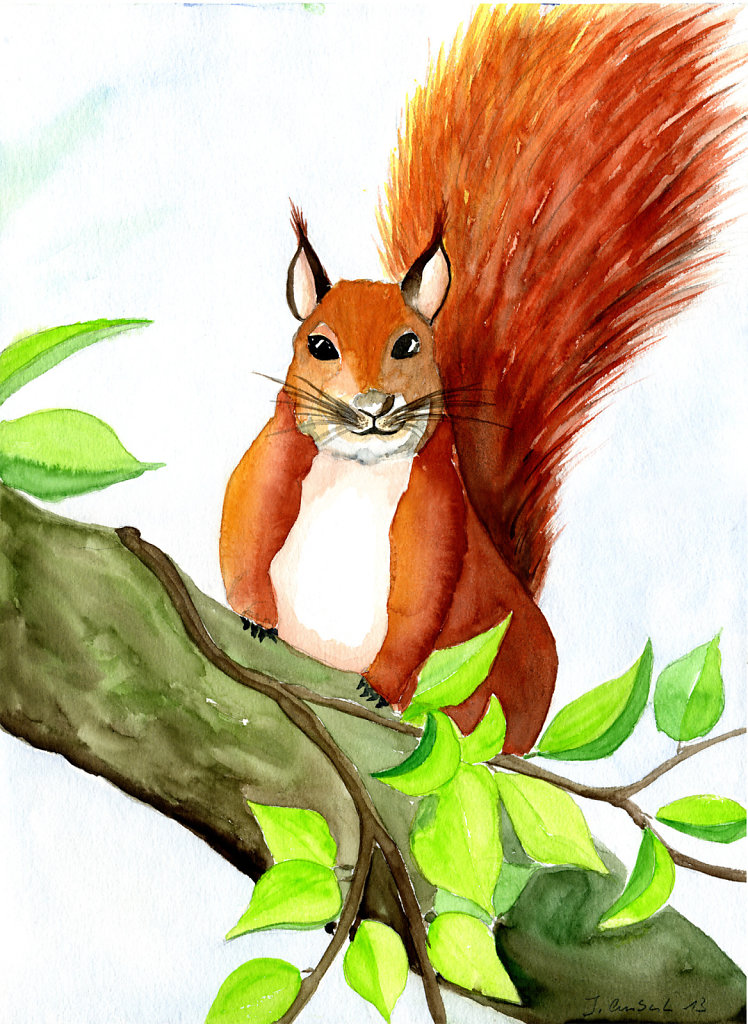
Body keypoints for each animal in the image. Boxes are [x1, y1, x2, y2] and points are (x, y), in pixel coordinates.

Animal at [219, 5, 742, 755]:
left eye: (411, 343)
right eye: (318, 345)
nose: (375, 406)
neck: (357, 468)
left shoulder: (437, 511)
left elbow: (422, 603)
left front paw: (386, 681)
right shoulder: (272, 458)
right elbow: (241, 531)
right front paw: (255, 610)